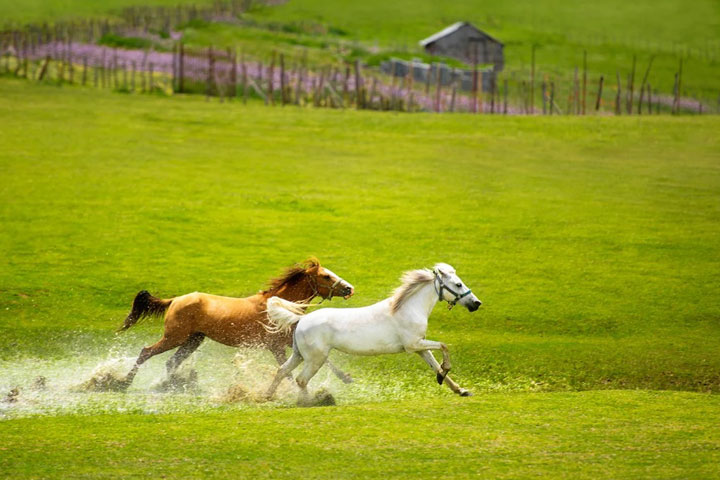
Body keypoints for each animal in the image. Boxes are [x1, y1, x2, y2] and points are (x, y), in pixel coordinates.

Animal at [118, 258, 354, 390]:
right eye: (326, 276)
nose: (349, 288)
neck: (277, 307)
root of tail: (175, 300)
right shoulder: (276, 346)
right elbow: (285, 371)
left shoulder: (291, 342)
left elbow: (324, 360)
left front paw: (346, 378)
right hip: (174, 337)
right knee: (146, 352)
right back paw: (123, 383)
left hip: (193, 339)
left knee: (171, 362)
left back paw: (167, 385)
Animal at [262, 262, 480, 402]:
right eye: (458, 284)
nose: (476, 303)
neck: (408, 308)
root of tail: (301, 319)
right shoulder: (413, 345)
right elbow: (444, 346)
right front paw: (445, 375)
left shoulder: (420, 347)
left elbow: (435, 365)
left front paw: (459, 389)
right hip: (316, 359)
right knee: (301, 379)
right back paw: (311, 401)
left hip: (299, 355)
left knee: (282, 371)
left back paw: (265, 397)